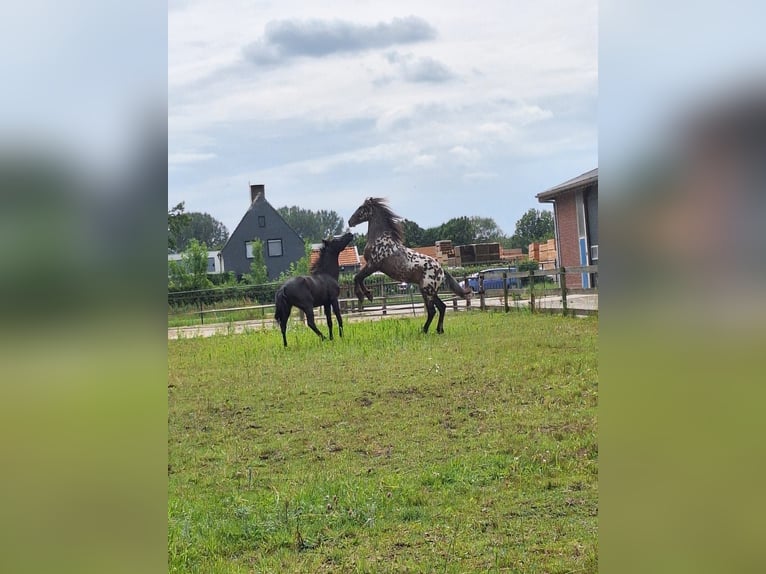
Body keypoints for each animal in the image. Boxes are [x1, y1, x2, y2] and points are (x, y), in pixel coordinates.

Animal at [350, 198, 474, 336]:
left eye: (361, 208)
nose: (350, 221)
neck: (380, 240)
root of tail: (442, 270)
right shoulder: (372, 266)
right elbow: (358, 277)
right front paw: (367, 295)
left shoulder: (373, 265)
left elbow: (357, 277)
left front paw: (365, 295)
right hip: (429, 291)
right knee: (441, 307)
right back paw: (439, 330)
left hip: (427, 290)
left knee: (432, 311)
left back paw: (424, 331)